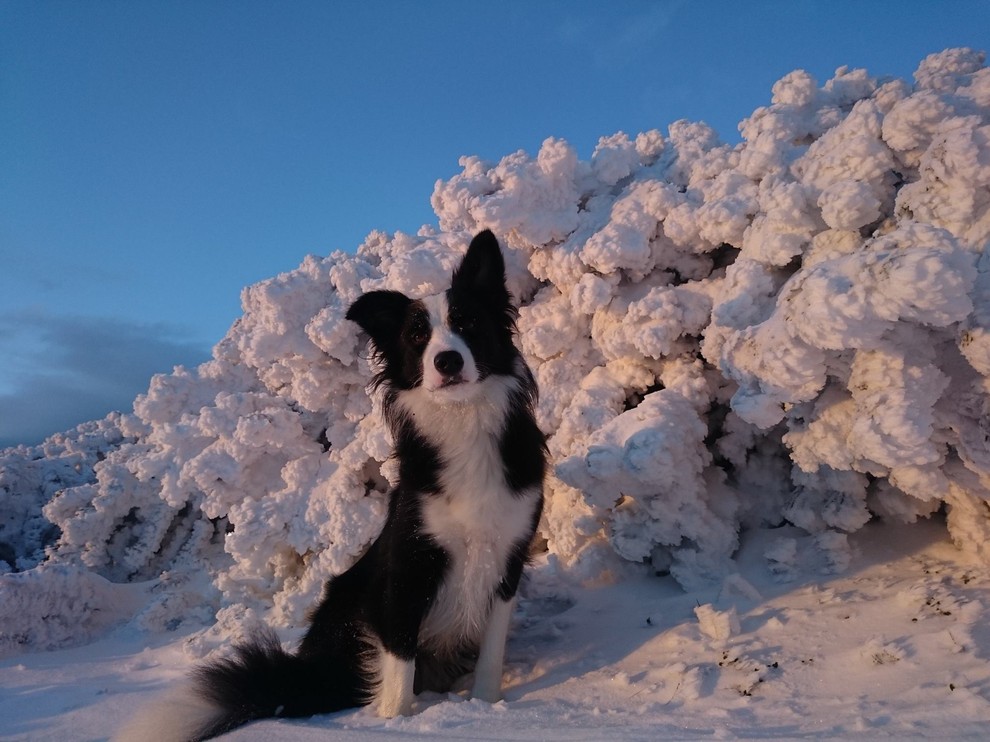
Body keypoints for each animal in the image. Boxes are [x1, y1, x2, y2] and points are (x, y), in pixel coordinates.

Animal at [121, 230, 552, 740]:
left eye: (467, 323)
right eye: (417, 336)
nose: (446, 361)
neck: (463, 424)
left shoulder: (507, 554)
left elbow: (491, 652)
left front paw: (487, 707)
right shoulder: (407, 566)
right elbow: (399, 660)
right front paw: (397, 722)